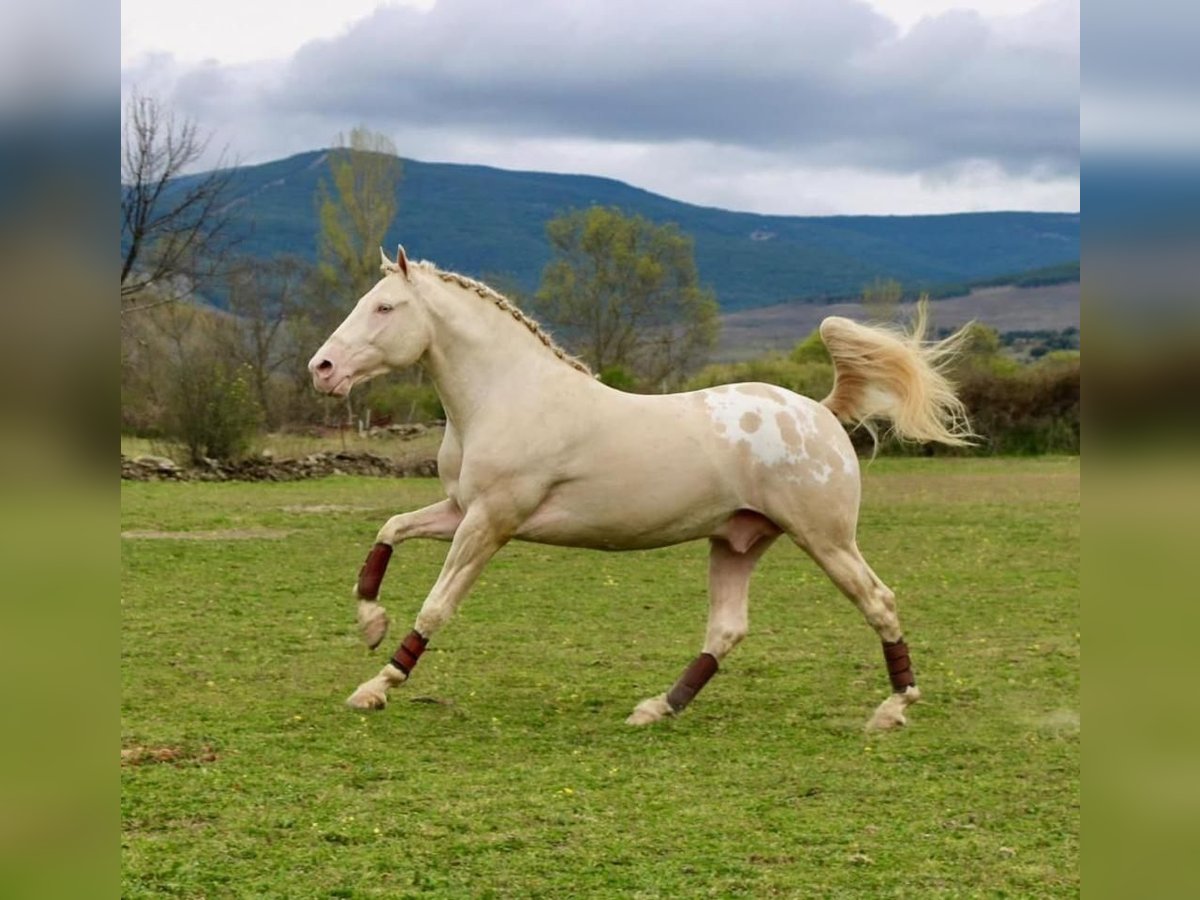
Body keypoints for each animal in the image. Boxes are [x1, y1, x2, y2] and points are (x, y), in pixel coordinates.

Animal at [304, 244, 969, 734]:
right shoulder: (458, 510)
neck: (506, 395)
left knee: (878, 601)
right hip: (739, 542)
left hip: (825, 539)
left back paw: (893, 709)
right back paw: (657, 707)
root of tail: (820, 411)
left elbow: (437, 605)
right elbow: (390, 530)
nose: (322, 369)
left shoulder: (489, 521)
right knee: (727, 629)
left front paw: (375, 687)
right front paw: (370, 623)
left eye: (385, 308)